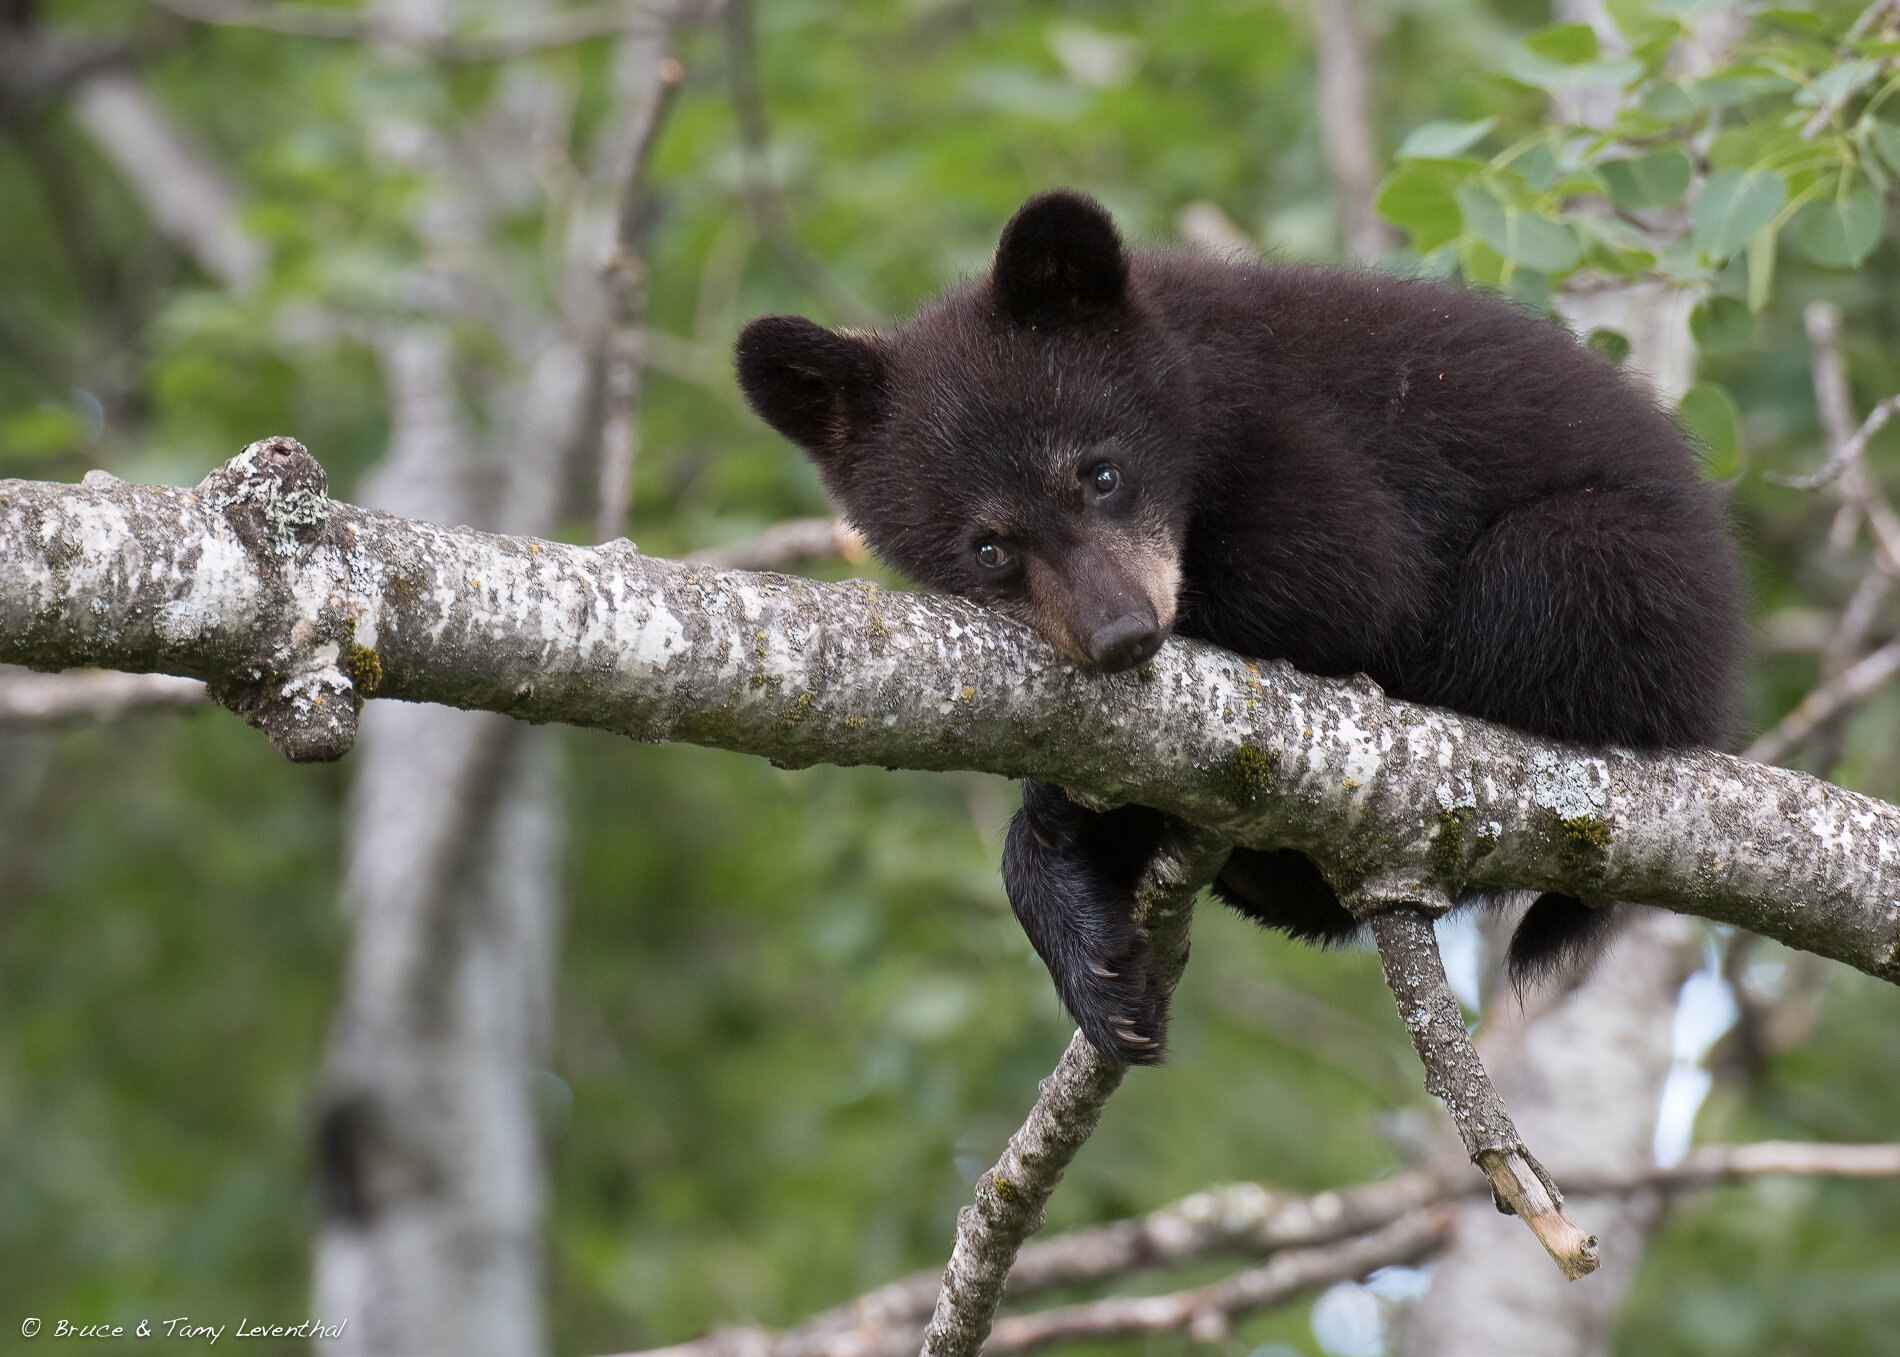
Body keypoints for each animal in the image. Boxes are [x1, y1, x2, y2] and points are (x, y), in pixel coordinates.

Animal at [733, 189, 1743, 1064]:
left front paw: (1055, 808)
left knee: (1537, 587)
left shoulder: (1288, 431)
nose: (1122, 633)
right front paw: (1083, 936)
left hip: (1626, 575)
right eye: (988, 547)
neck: (1193, 394)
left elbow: (1351, 580)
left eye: (1101, 473)